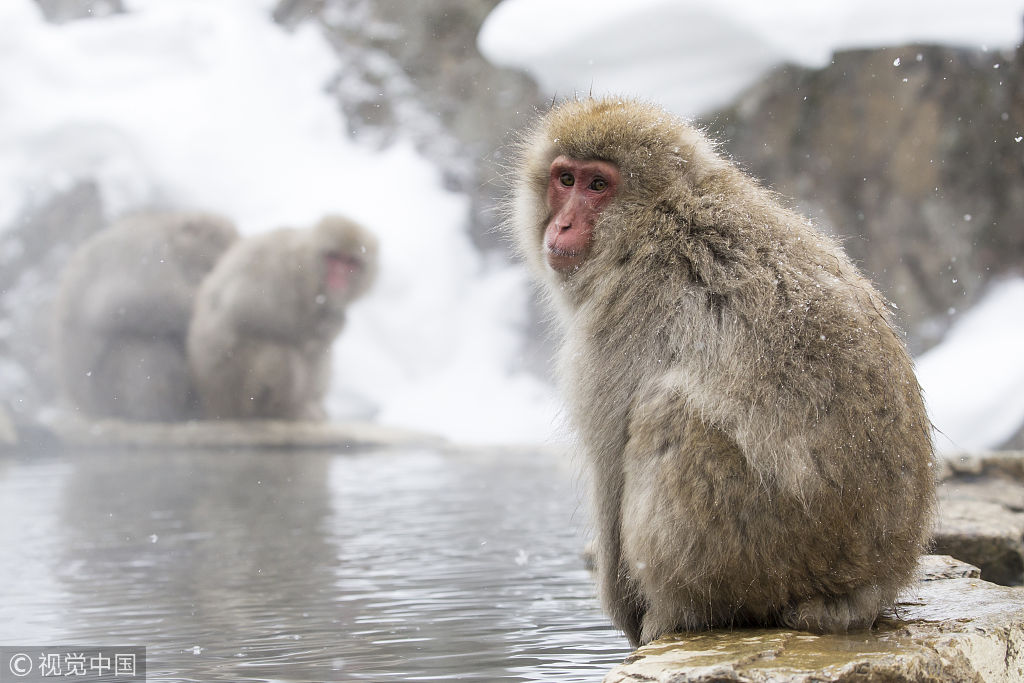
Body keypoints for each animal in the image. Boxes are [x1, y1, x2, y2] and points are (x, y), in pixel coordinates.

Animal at [187, 214, 376, 419]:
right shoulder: (276, 266)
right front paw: (325, 323)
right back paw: (284, 411)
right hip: (233, 383)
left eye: (350, 262)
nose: (340, 277)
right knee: (280, 355)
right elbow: (246, 308)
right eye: (333, 258)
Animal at [507, 96, 933, 647]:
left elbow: (609, 456)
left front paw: (626, 614)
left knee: (668, 415)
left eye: (597, 185)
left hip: (764, 546)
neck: (658, 214)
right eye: (565, 179)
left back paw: (679, 611)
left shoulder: (626, 311)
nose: (560, 227)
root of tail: (870, 583)